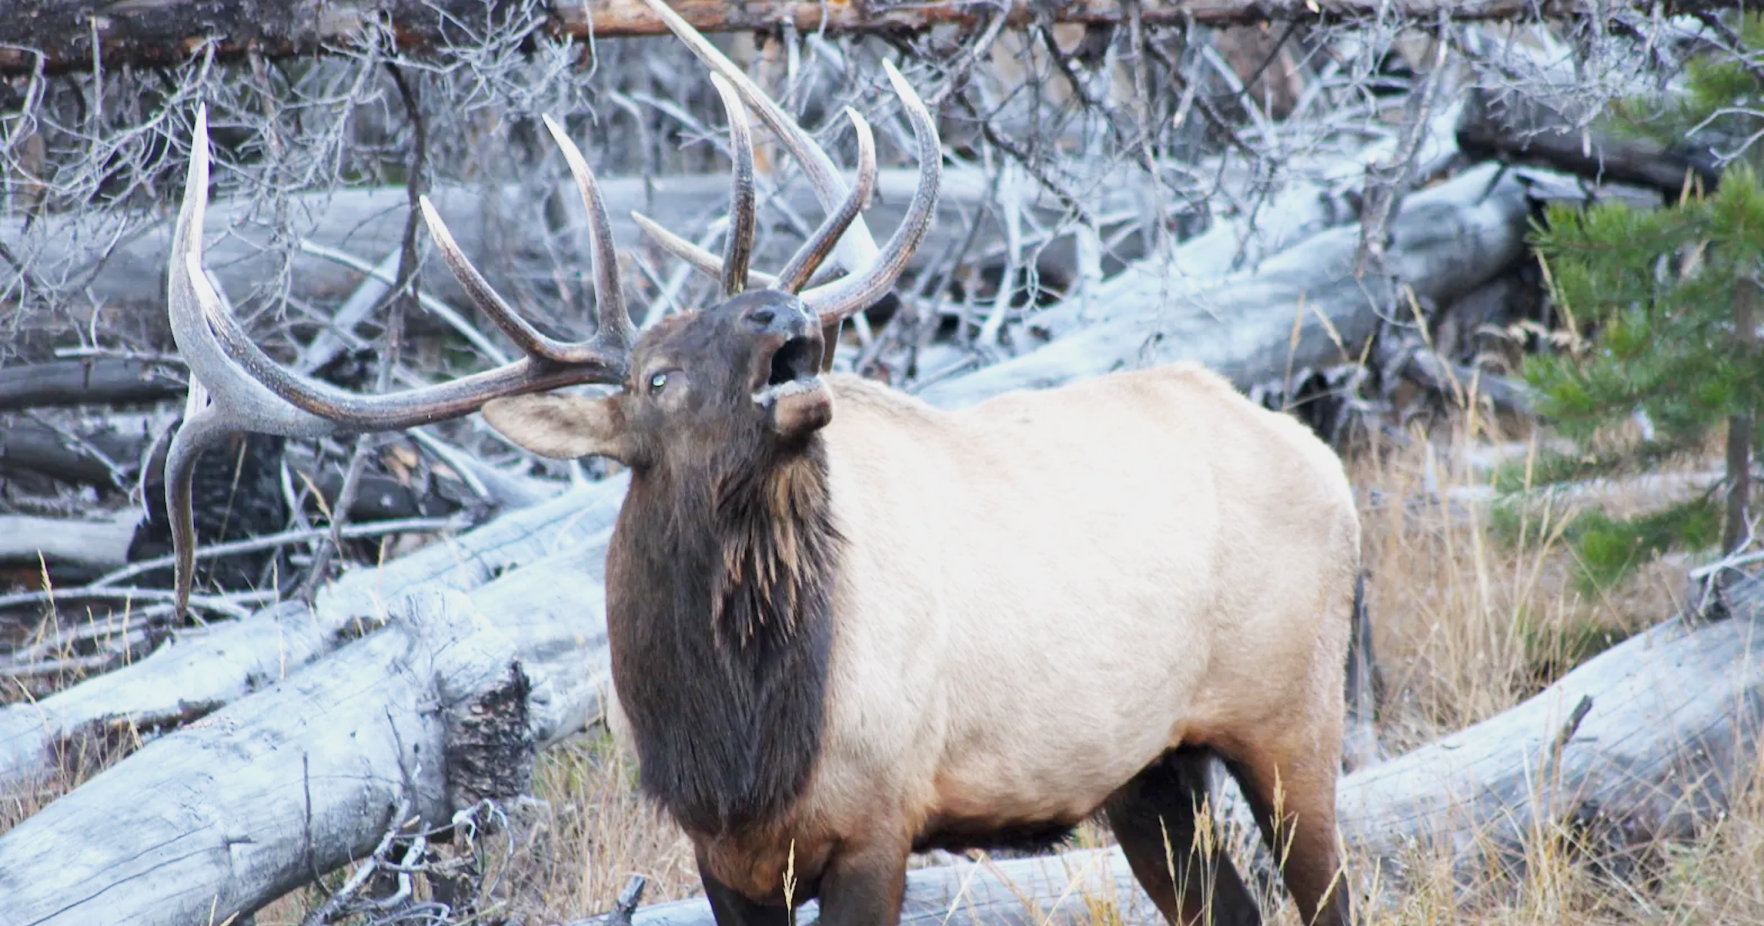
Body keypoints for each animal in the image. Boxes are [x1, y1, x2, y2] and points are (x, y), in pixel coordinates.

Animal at [160, 3, 1359, 925]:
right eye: (653, 378)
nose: (782, 307)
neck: (737, 744)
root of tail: (1319, 455)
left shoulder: (880, 820)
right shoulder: (721, 857)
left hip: (1294, 715)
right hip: (1151, 770)